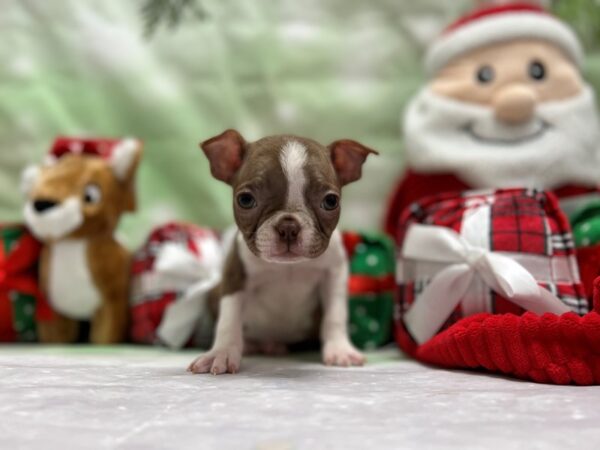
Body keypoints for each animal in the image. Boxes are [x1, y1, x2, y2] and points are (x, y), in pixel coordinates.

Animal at [189, 131, 376, 376]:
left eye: (330, 201)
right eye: (245, 200)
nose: (289, 227)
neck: (289, 266)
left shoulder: (334, 274)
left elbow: (335, 314)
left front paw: (339, 349)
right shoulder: (235, 274)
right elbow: (229, 318)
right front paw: (221, 352)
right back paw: (254, 345)